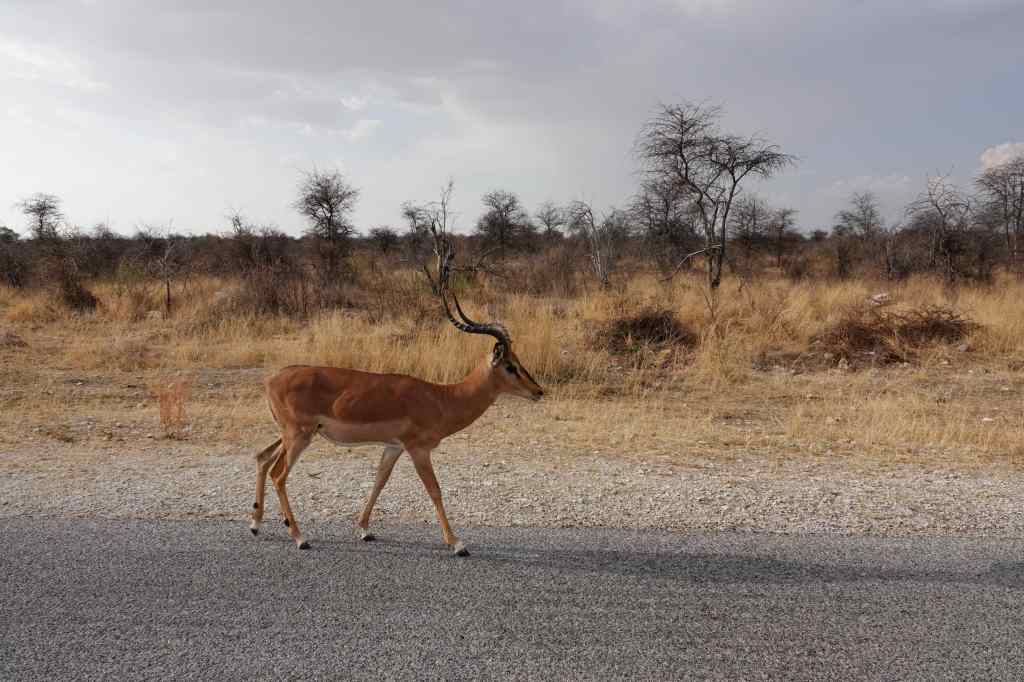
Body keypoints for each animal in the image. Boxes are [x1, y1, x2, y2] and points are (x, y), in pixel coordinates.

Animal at [248, 238, 544, 556]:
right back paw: (300, 537)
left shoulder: (393, 447)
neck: (442, 398)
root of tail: (271, 379)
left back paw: (255, 524)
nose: (538, 391)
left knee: (262, 458)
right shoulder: (418, 449)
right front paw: (457, 543)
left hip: (292, 434)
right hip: (299, 436)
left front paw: (364, 530)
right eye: (510, 365)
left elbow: (379, 481)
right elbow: (434, 490)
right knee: (278, 475)